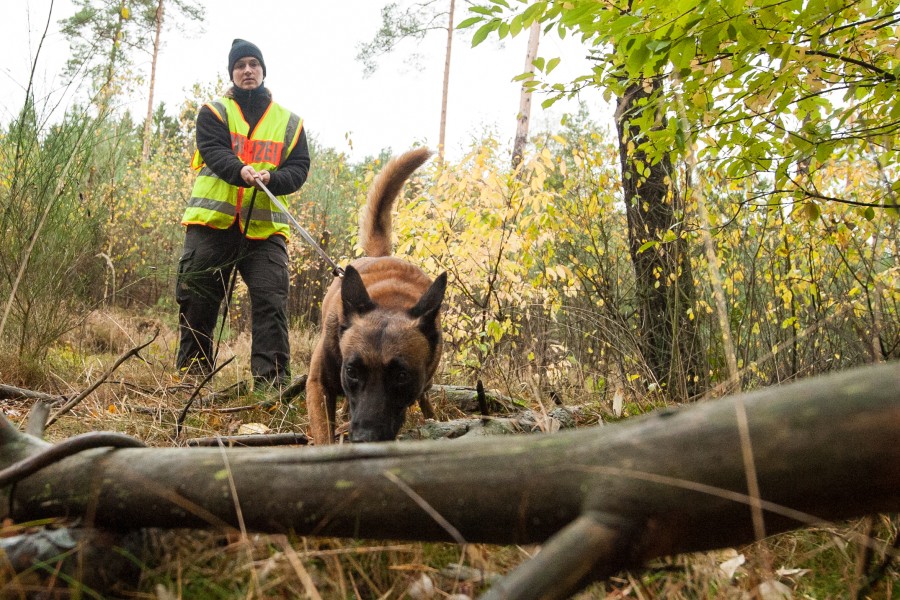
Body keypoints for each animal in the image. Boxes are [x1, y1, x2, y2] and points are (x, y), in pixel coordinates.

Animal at [306, 148, 446, 442]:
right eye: (352, 371)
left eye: (401, 375)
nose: (364, 439)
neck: (389, 301)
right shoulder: (319, 386)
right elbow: (324, 435)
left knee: (425, 395)